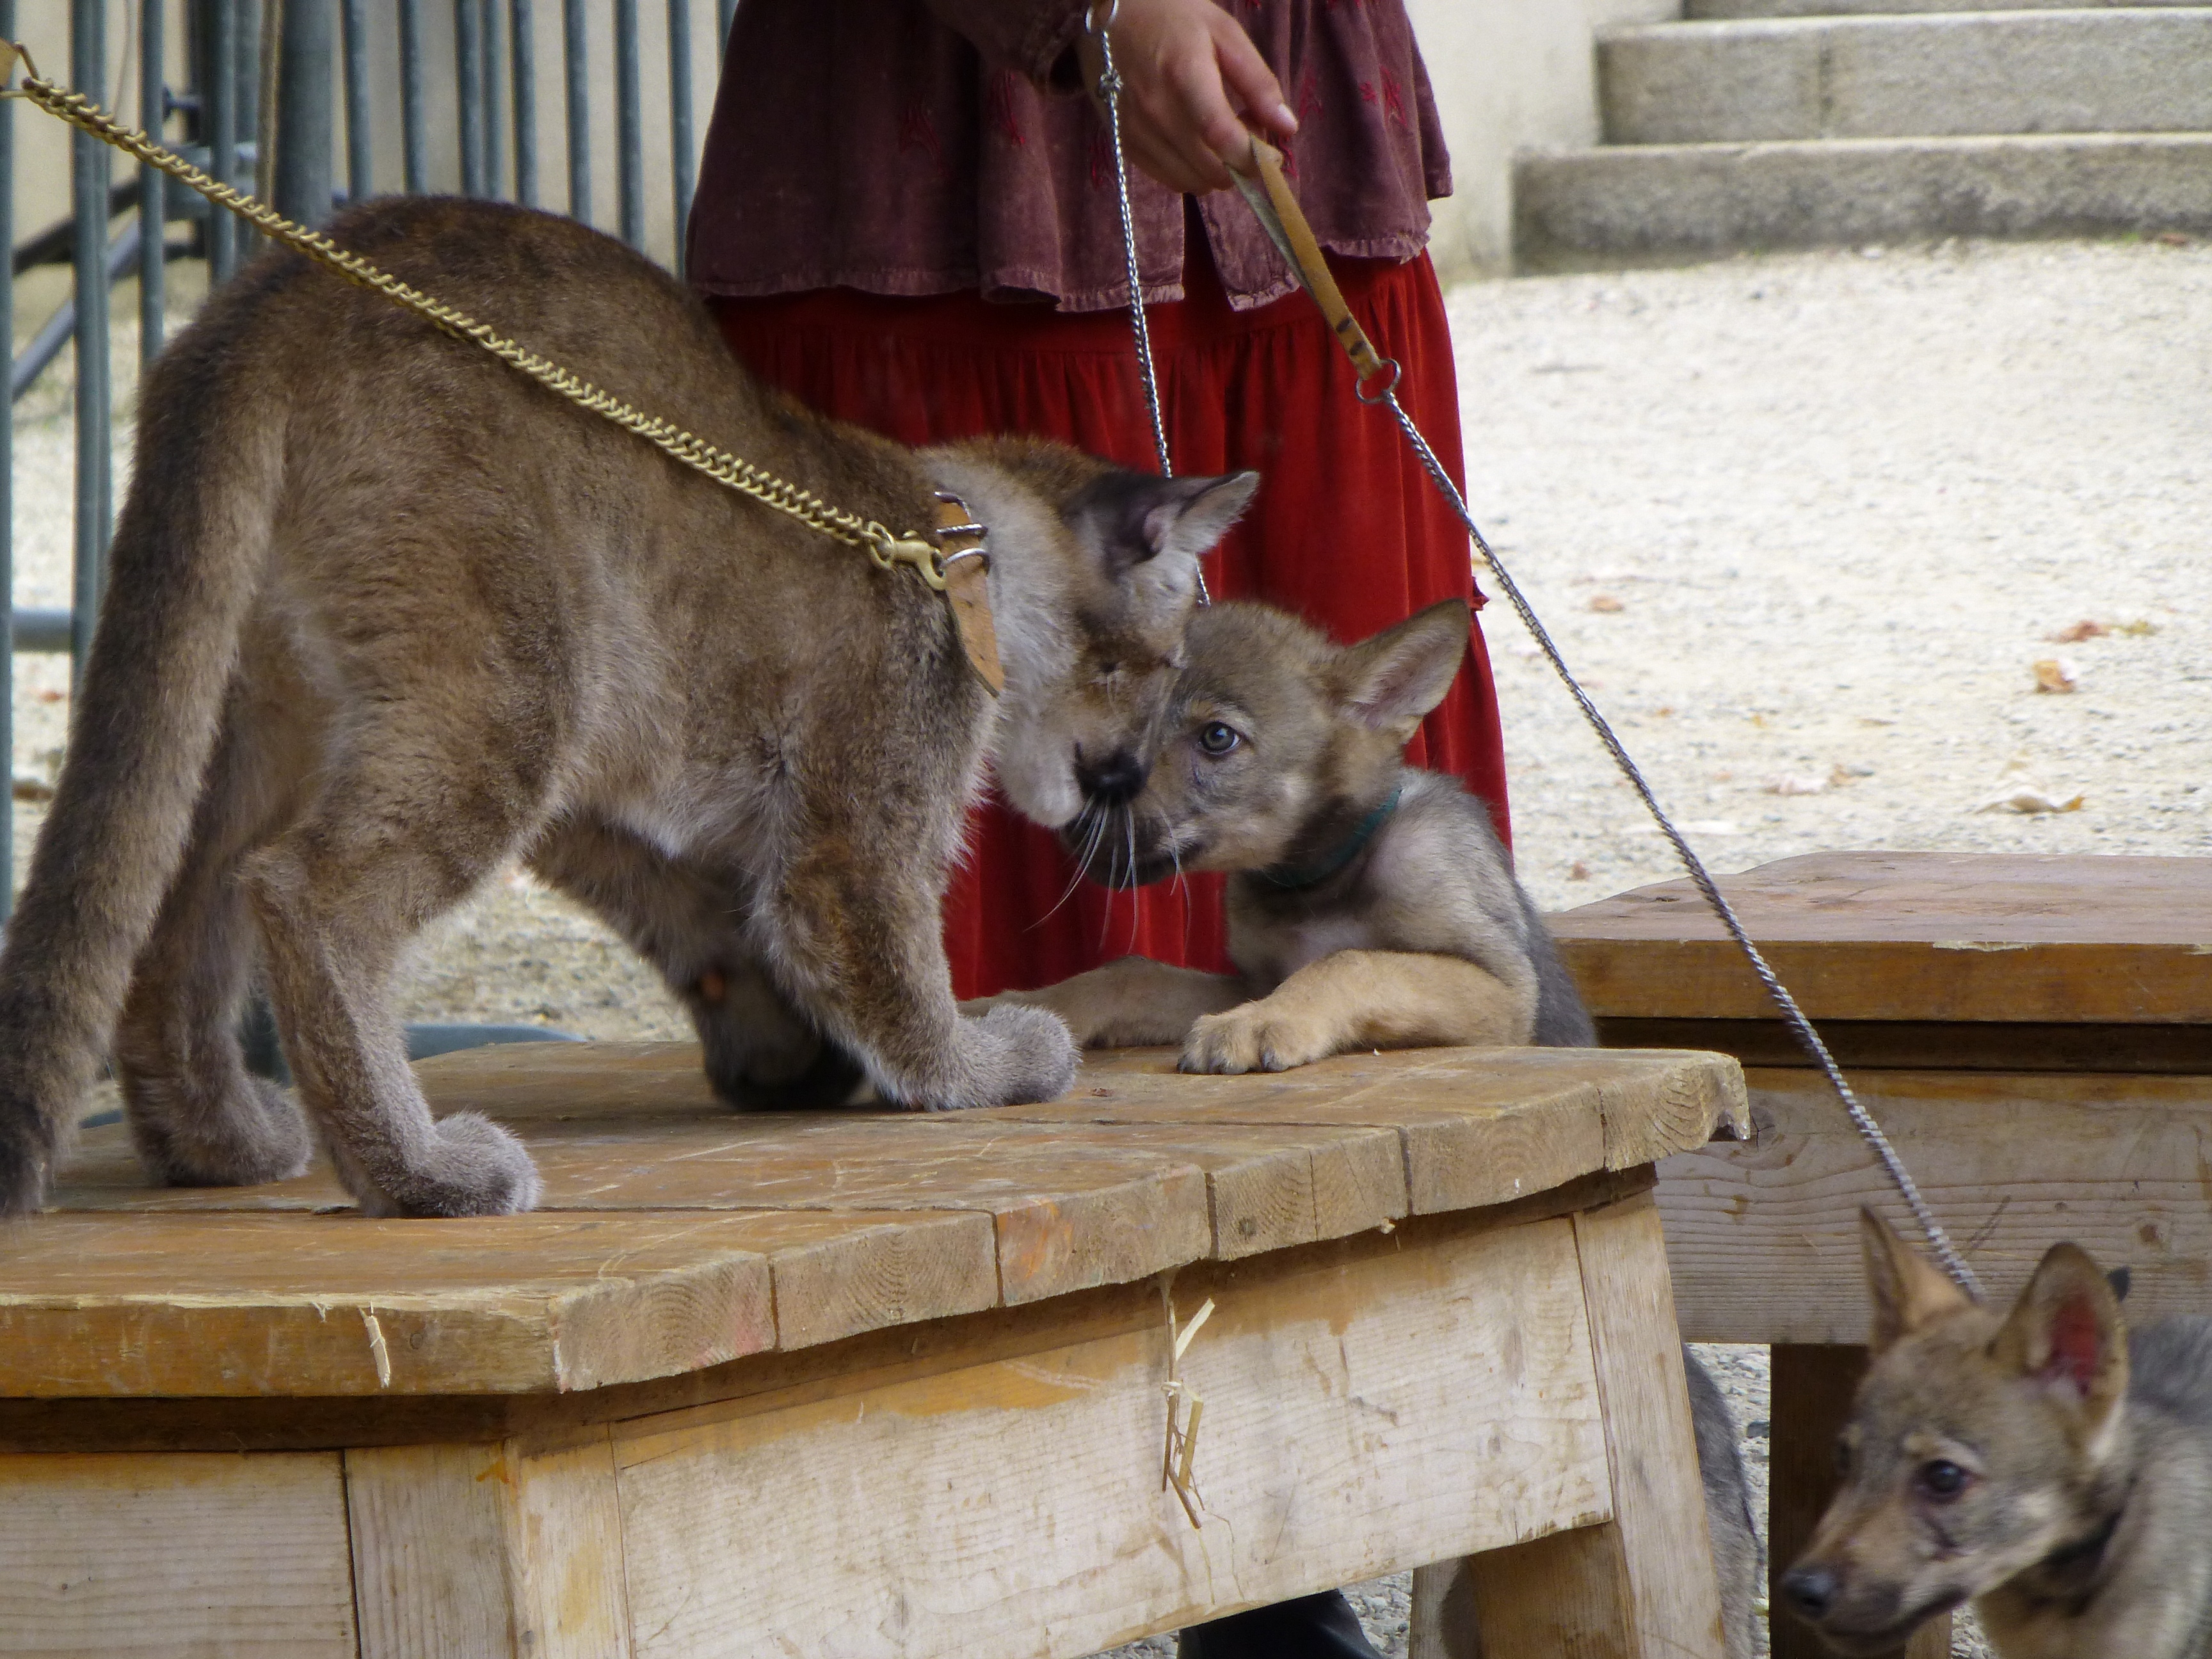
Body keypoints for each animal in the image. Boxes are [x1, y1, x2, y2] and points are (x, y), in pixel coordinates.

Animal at [0, 201, 1256, 1230]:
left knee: (173, 895)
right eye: (1163, 671)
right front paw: (980, 1063)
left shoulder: (613, 803)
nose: (1128, 782)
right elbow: (890, 961)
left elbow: (708, 910)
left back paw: (218, 1143)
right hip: (510, 691)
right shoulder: (847, 835)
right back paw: (422, 1176)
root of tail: (272, 299)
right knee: (303, 889)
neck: (959, 541)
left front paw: (777, 1052)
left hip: (268, 710)